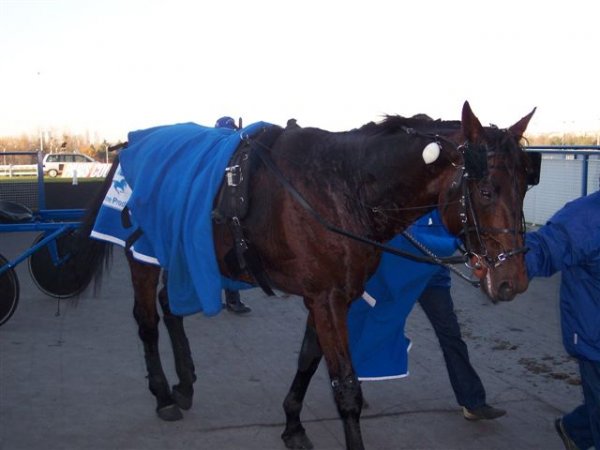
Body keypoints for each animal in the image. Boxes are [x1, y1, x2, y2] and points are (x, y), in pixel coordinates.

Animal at [72, 103, 536, 450]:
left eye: (524, 186)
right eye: (486, 190)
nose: (512, 278)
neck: (343, 185)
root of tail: (130, 145)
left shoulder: (329, 296)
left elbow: (308, 361)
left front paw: (292, 422)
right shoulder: (327, 298)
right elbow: (345, 387)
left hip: (184, 252)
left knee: (171, 308)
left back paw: (184, 384)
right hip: (145, 255)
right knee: (147, 321)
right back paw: (163, 394)